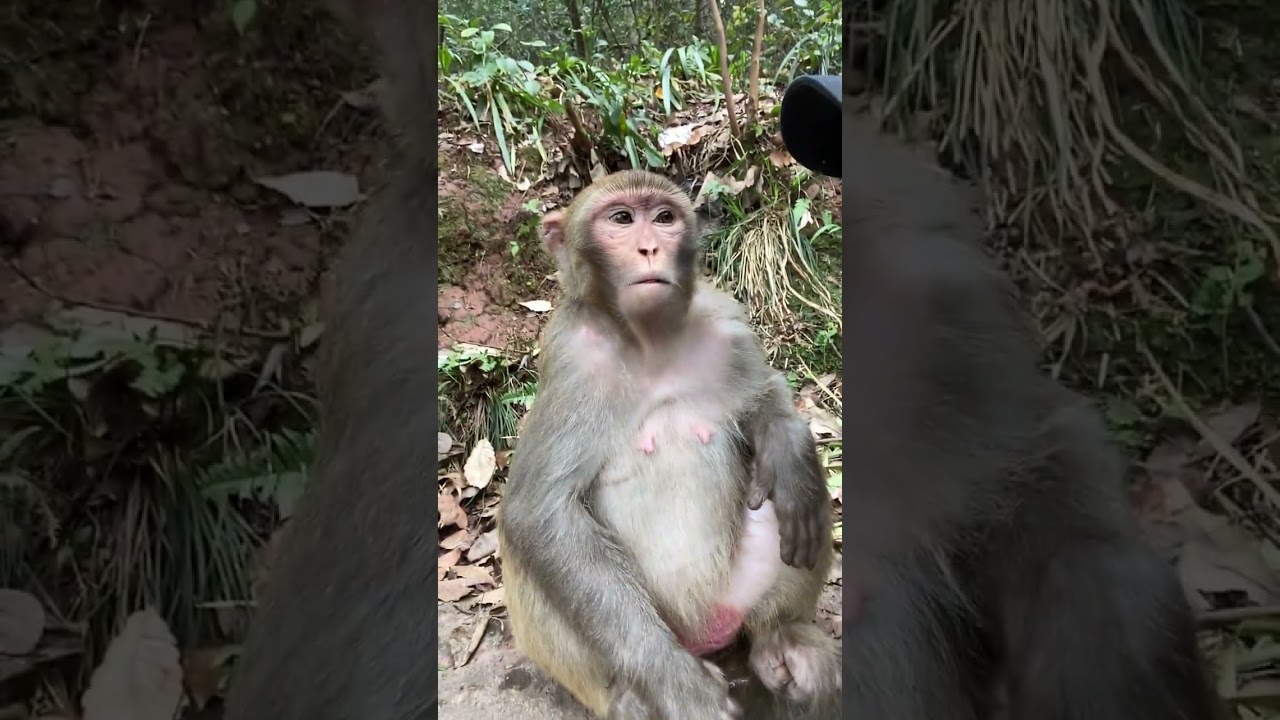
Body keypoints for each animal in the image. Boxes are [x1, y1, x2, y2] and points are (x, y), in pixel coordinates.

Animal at [496, 169, 842, 720]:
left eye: (663, 217)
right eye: (621, 219)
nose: (650, 247)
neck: (649, 341)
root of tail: (705, 634)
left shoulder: (728, 320)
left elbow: (764, 393)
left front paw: (786, 445)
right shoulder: (569, 358)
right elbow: (539, 511)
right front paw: (679, 687)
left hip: (736, 593)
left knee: (802, 496)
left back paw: (780, 637)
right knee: (528, 542)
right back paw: (628, 695)